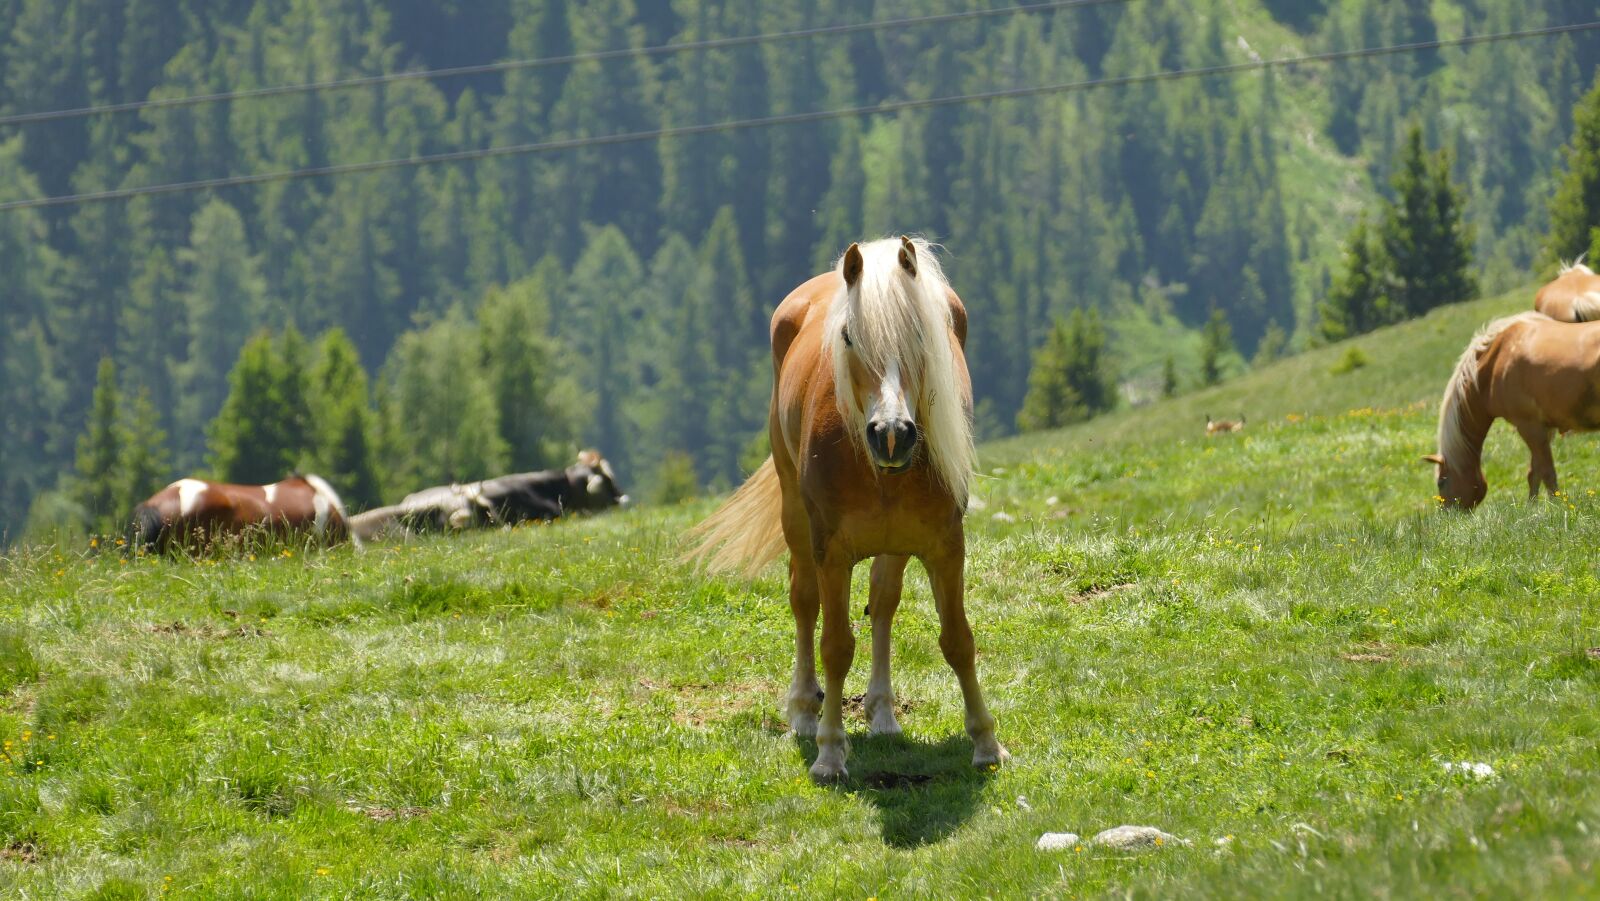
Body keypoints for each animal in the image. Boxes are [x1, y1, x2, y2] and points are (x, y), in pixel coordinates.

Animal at [687, 236, 1007, 782]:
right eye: (849, 337)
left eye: (921, 331)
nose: (892, 434)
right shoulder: (832, 554)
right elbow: (835, 646)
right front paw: (830, 751)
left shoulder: (945, 546)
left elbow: (958, 640)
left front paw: (986, 743)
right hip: (796, 519)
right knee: (803, 602)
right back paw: (802, 712)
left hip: (896, 545)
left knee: (882, 603)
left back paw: (882, 712)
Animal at [1425, 310, 1600, 509]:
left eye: (1441, 482)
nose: (1447, 513)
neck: (1496, 360)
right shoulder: (1543, 428)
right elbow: (1535, 472)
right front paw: (1532, 507)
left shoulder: (1529, 427)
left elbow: (1546, 472)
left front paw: (1556, 505)